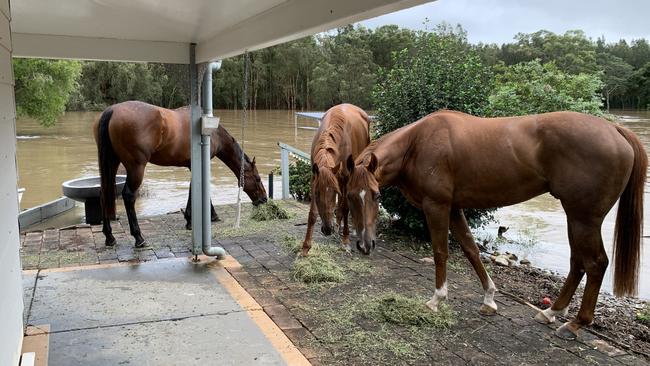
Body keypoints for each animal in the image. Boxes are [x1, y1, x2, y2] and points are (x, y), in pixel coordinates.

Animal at [93, 101, 266, 247]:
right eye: (257, 179)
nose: (264, 199)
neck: (212, 133)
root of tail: (112, 110)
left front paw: (199, 218)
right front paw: (199, 218)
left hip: (112, 163)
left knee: (104, 193)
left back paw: (109, 237)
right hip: (136, 167)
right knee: (128, 196)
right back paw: (139, 238)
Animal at [300, 104, 368, 256]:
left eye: (334, 192)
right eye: (317, 193)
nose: (327, 229)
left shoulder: (346, 178)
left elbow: (345, 207)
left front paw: (346, 241)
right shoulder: (315, 178)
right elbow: (312, 214)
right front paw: (306, 247)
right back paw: (337, 225)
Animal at [344, 110, 644, 338]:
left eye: (376, 195)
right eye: (350, 195)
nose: (365, 245)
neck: (417, 144)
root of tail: (615, 129)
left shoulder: (437, 206)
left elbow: (441, 252)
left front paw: (437, 299)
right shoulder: (455, 208)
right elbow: (471, 250)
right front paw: (489, 299)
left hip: (584, 218)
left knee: (595, 263)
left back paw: (575, 323)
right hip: (576, 218)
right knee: (577, 263)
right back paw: (552, 312)